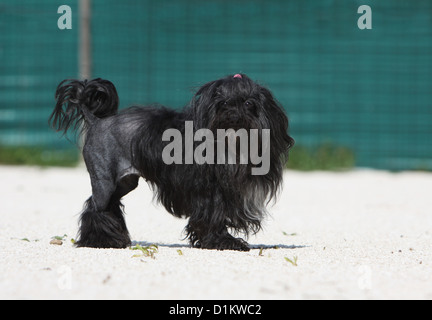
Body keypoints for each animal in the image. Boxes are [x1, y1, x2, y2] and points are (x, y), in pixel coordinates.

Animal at [49, 74, 294, 251]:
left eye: (249, 102)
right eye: (223, 103)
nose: (233, 116)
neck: (232, 145)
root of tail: (96, 120)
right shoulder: (209, 191)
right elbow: (213, 216)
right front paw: (223, 242)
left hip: (124, 182)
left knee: (109, 206)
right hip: (104, 179)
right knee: (96, 207)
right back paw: (101, 241)